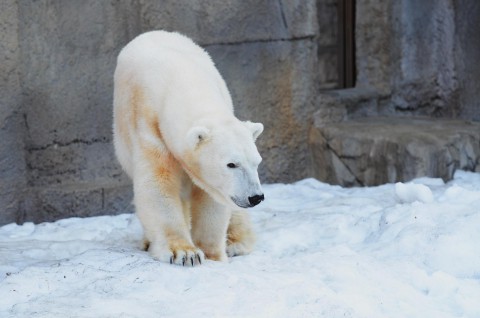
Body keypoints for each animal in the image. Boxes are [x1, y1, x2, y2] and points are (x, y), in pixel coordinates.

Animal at [112, 31, 264, 266]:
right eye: (231, 164)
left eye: (257, 163)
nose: (255, 197)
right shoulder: (148, 125)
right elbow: (158, 185)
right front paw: (185, 253)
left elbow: (211, 197)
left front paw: (211, 254)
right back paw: (148, 241)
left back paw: (235, 243)